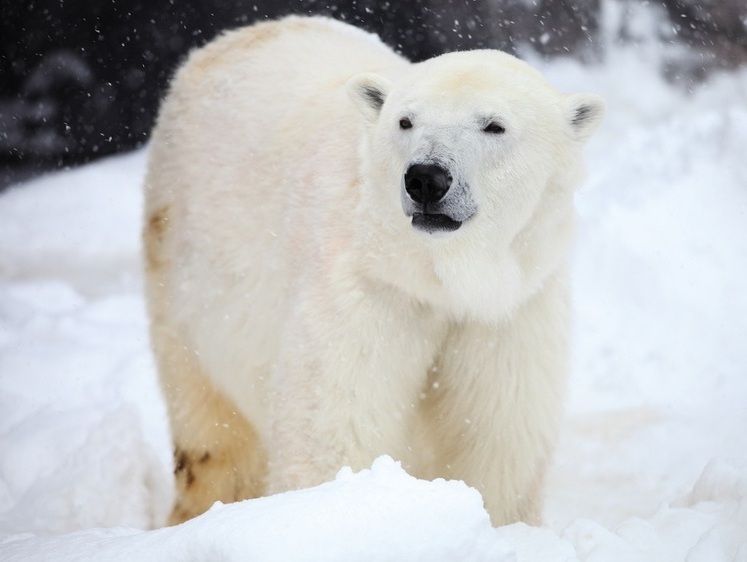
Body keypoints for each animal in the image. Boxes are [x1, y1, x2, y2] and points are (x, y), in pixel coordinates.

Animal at [143, 15, 604, 528]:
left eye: (494, 125)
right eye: (406, 120)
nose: (426, 178)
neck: (439, 276)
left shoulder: (508, 309)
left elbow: (498, 432)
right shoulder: (368, 290)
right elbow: (337, 424)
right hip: (183, 256)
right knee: (211, 428)